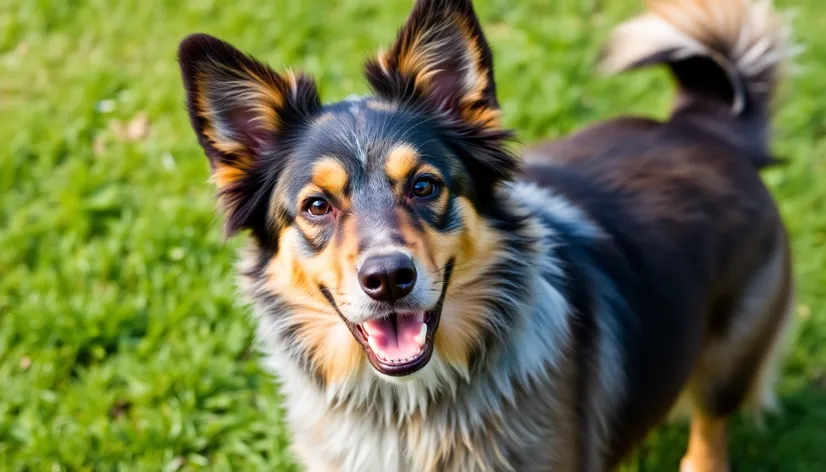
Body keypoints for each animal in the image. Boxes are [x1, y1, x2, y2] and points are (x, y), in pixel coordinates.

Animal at [179, 0, 792, 472]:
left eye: (425, 185)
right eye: (316, 206)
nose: (389, 279)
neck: (410, 410)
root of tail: (705, 128)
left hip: (729, 357)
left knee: (712, 424)